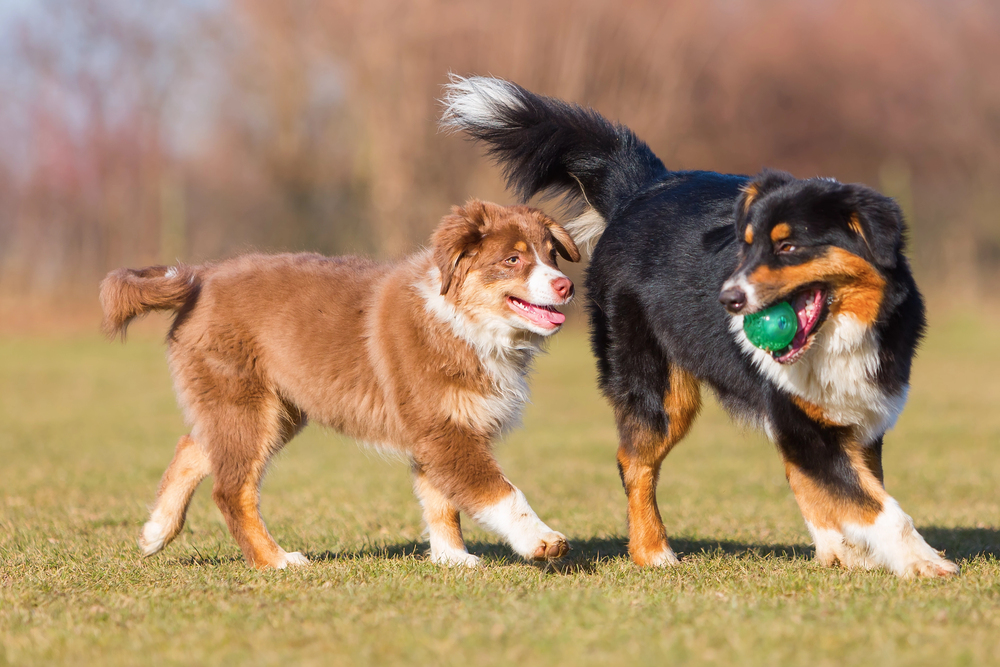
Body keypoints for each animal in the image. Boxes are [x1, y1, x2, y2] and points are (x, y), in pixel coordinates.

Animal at [97, 200, 584, 568]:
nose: (566, 286)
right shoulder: (444, 430)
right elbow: (500, 492)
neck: (466, 325)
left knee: (194, 446)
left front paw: (452, 558)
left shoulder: (436, 431)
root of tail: (200, 277)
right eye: (512, 259)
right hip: (245, 403)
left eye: (551, 255)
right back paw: (276, 560)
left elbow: (440, 501)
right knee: (231, 489)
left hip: (269, 409)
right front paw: (542, 540)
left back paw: (156, 531)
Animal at [442, 74, 956, 580]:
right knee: (634, 462)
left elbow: (854, 492)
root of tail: (645, 186)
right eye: (745, 247)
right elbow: (878, 506)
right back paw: (653, 552)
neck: (835, 337)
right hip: (661, 391)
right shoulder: (803, 419)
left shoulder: (856, 417)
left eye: (788, 247)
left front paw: (867, 554)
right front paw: (925, 562)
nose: (727, 300)